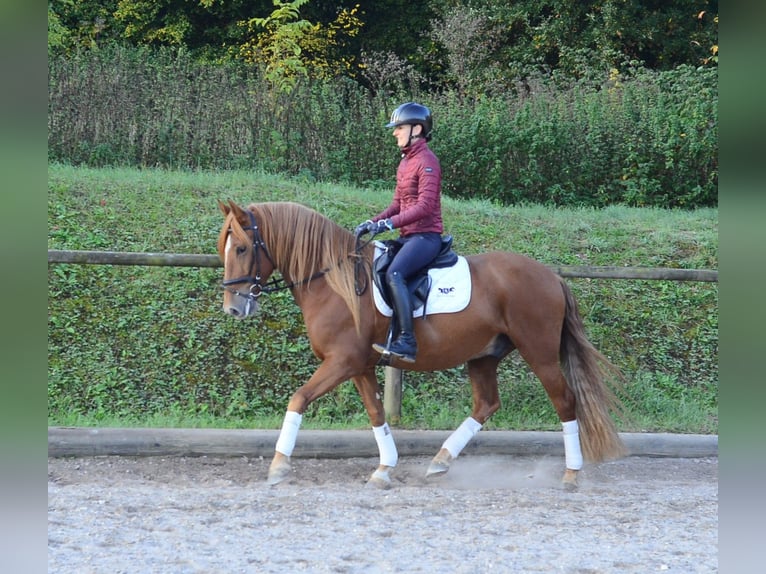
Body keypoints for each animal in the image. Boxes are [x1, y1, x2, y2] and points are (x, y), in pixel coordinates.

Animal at [217, 200, 627, 489]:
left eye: (241, 248)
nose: (233, 308)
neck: (332, 280)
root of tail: (552, 277)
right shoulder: (359, 366)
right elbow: (376, 415)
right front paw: (384, 470)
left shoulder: (342, 362)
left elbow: (298, 398)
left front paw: (278, 466)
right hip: (483, 355)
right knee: (486, 404)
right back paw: (440, 461)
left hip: (538, 353)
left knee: (565, 401)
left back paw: (571, 474)